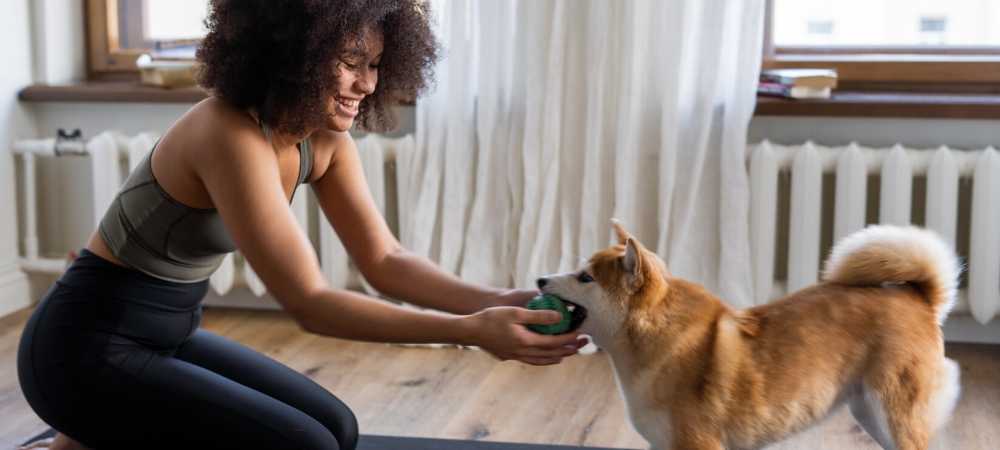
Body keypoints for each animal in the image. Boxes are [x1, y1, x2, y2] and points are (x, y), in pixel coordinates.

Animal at [540, 221, 960, 450]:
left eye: (585, 277)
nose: (540, 279)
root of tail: (918, 297)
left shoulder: (697, 442)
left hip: (894, 413)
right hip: (869, 412)